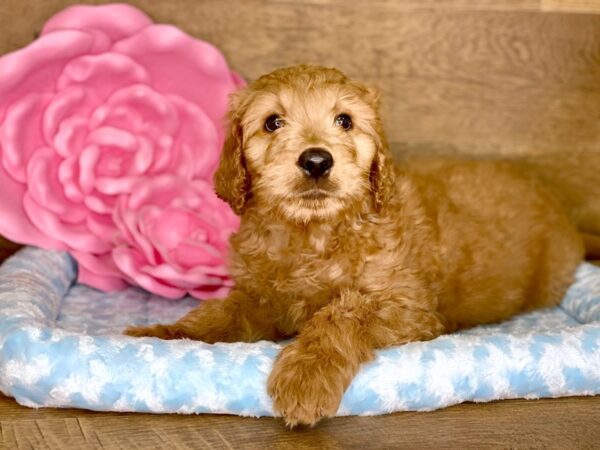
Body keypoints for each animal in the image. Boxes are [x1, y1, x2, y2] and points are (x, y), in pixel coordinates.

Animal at [125, 63, 580, 426]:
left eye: (344, 121)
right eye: (272, 123)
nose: (316, 160)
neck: (313, 233)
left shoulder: (408, 307)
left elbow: (341, 315)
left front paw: (305, 377)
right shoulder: (261, 295)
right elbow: (223, 313)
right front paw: (165, 333)